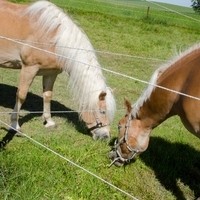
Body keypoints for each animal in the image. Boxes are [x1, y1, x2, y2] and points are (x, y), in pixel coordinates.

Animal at [0, 0, 115, 147]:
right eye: (102, 111)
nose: (105, 136)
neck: (54, 39)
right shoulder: (29, 68)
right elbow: (21, 95)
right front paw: (15, 125)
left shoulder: (51, 73)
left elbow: (47, 95)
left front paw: (49, 122)